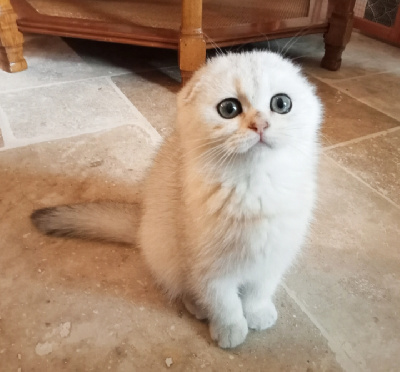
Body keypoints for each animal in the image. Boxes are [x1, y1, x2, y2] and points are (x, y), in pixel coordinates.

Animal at [30, 50, 322, 348]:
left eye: (281, 103)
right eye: (229, 109)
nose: (260, 124)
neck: (254, 187)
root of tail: (141, 224)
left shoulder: (273, 256)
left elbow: (259, 290)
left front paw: (257, 312)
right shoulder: (206, 266)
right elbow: (224, 302)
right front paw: (230, 328)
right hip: (167, 253)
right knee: (183, 287)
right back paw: (197, 307)